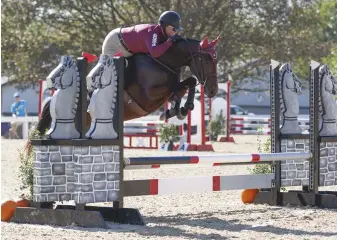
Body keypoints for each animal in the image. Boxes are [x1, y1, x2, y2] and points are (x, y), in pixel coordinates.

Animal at [34, 35, 218, 137]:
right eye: (207, 60)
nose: (213, 90)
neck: (164, 61)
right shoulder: (149, 97)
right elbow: (179, 86)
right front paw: (180, 109)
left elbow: (187, 84)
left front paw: (179, 110)